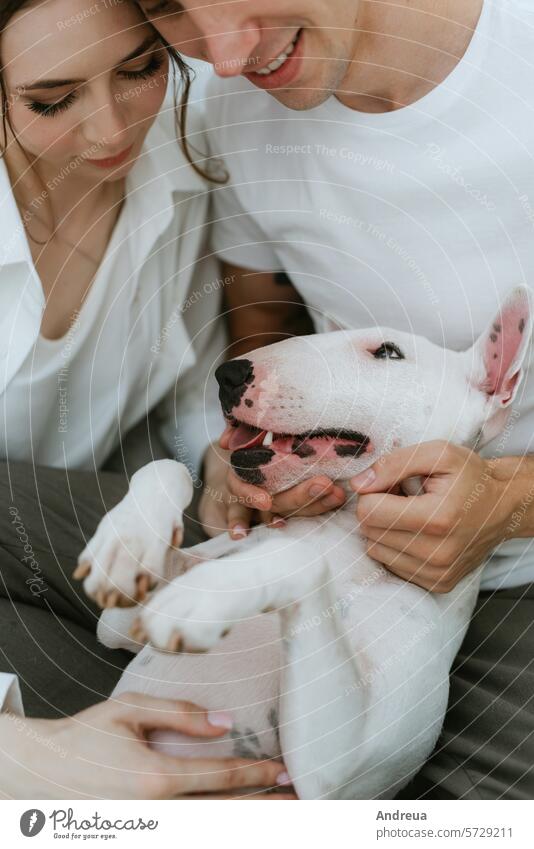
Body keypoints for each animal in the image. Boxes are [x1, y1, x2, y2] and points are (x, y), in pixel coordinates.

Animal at [77, 288, 532, 800]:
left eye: (389, 352)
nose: (228, 375)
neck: (340, 535)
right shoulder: (118, 626)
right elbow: (166, 469)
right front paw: (124, 545)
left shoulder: (336, 774)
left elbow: (300, 560)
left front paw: (203, 600)